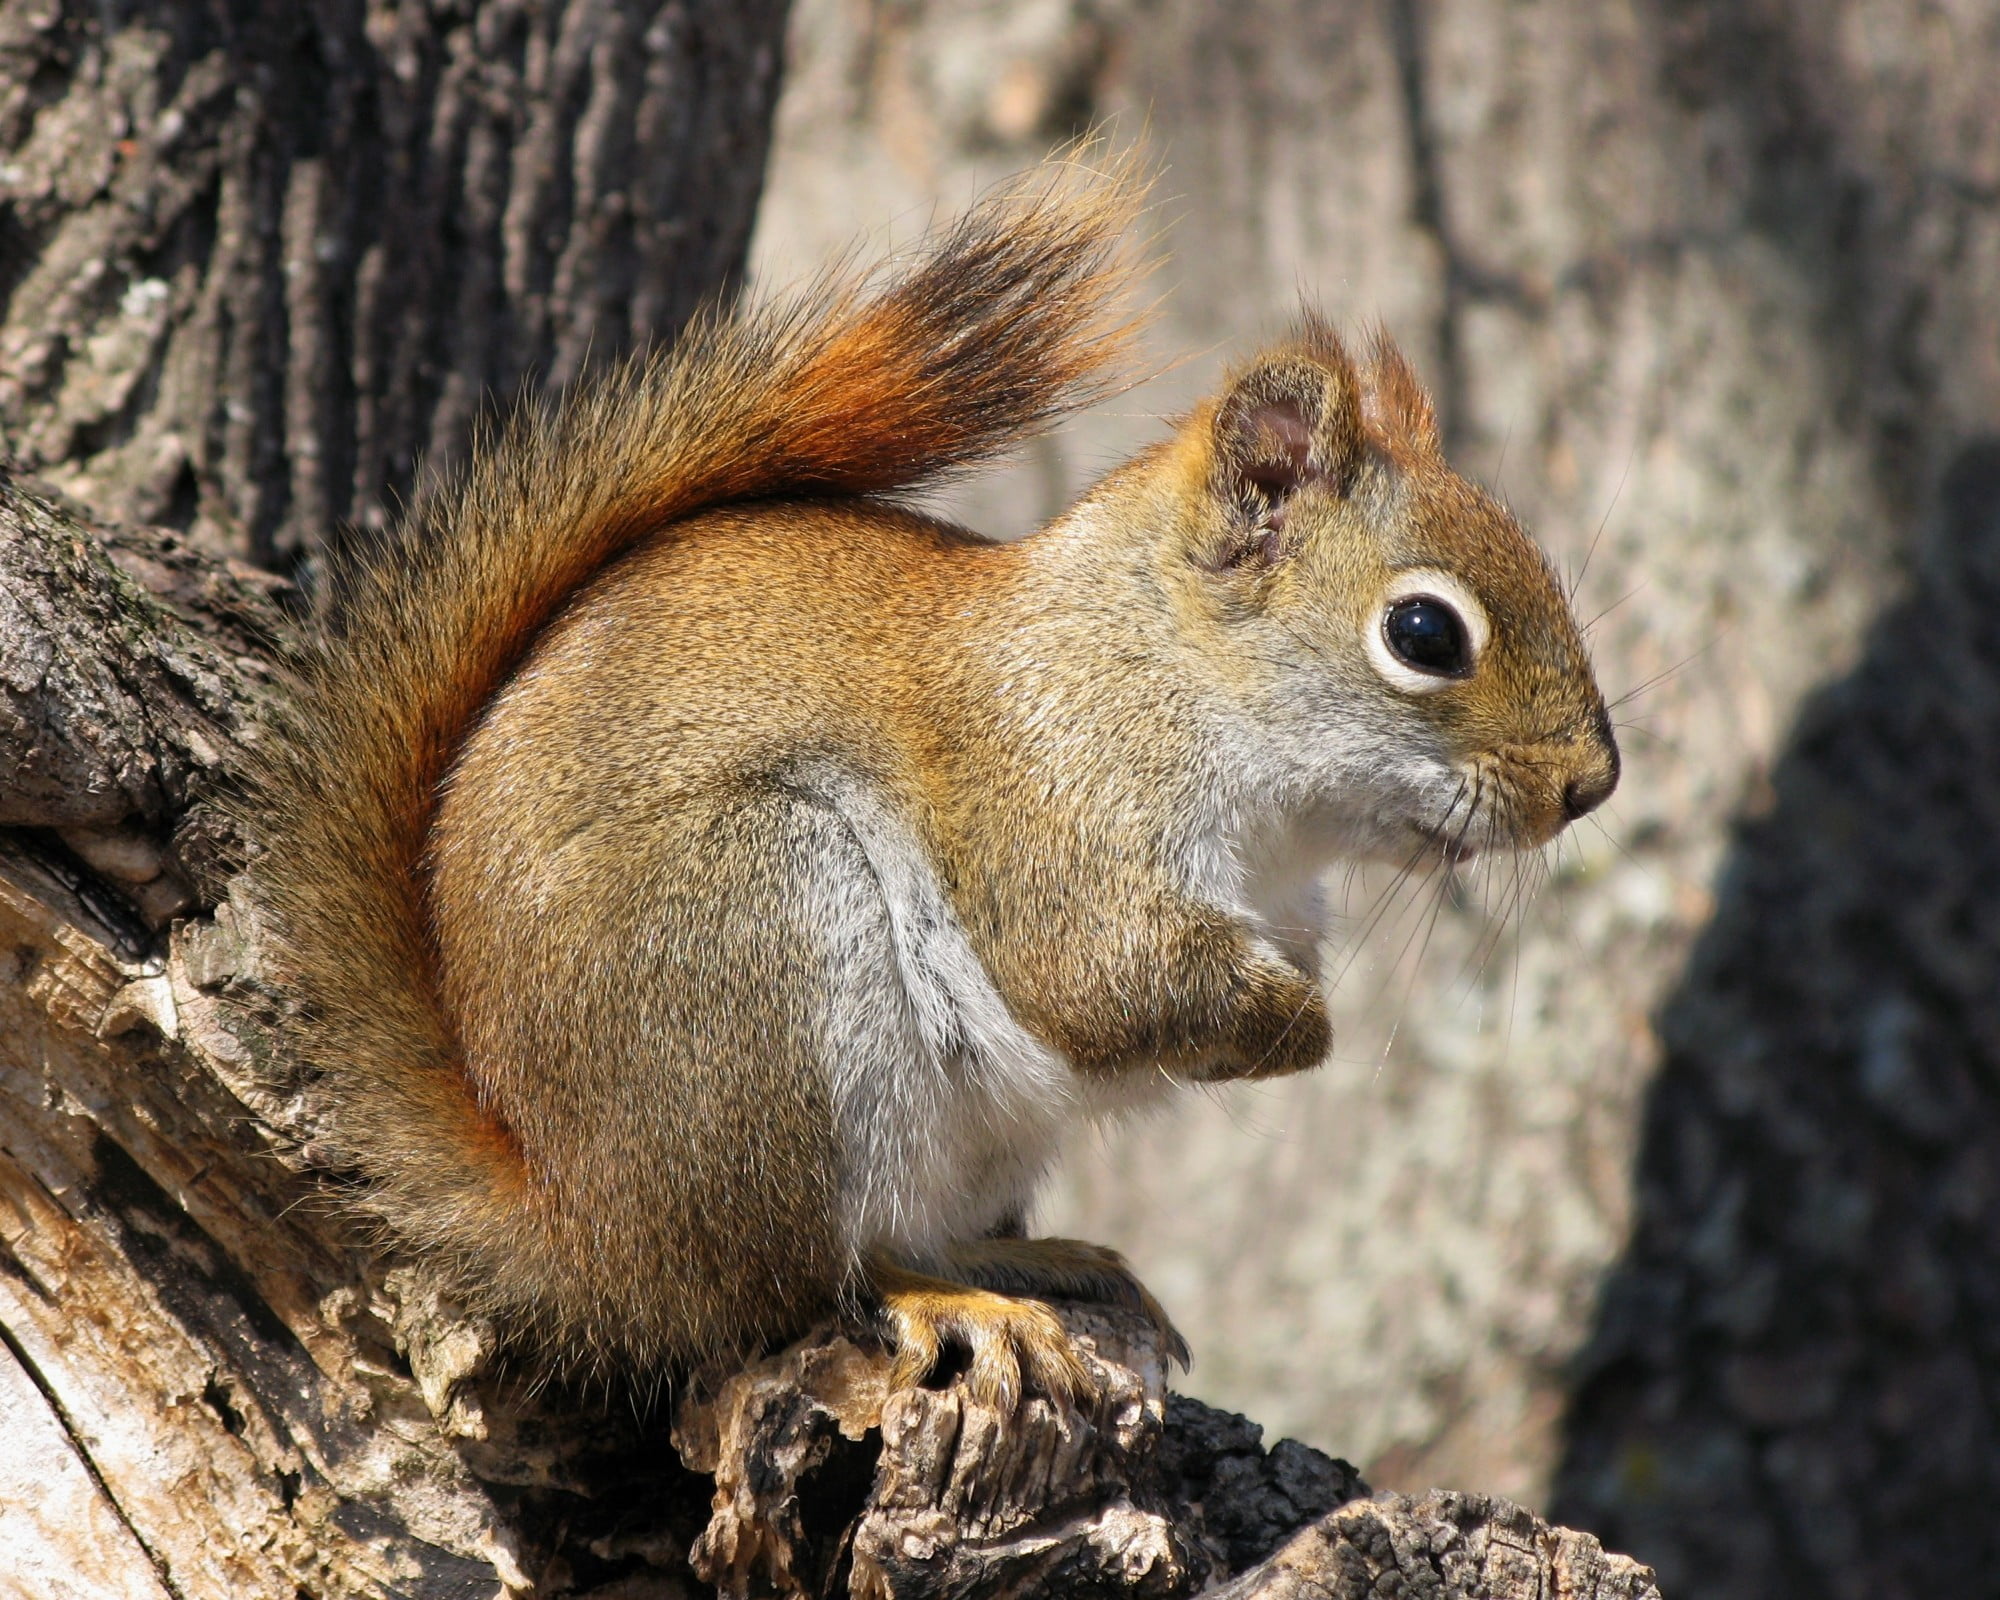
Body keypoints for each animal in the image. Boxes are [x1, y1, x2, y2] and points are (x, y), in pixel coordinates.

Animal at [247, 156, 1618, 1410]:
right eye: (1424, 634)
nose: (1590, 785)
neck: (1166, 667)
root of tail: (582, 1227)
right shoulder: (1053, 796)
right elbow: (1099, 978)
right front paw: (1301, 1028)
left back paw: (1047, 1263)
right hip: (769, 944)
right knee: (810, 1275)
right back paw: (955, 1301)